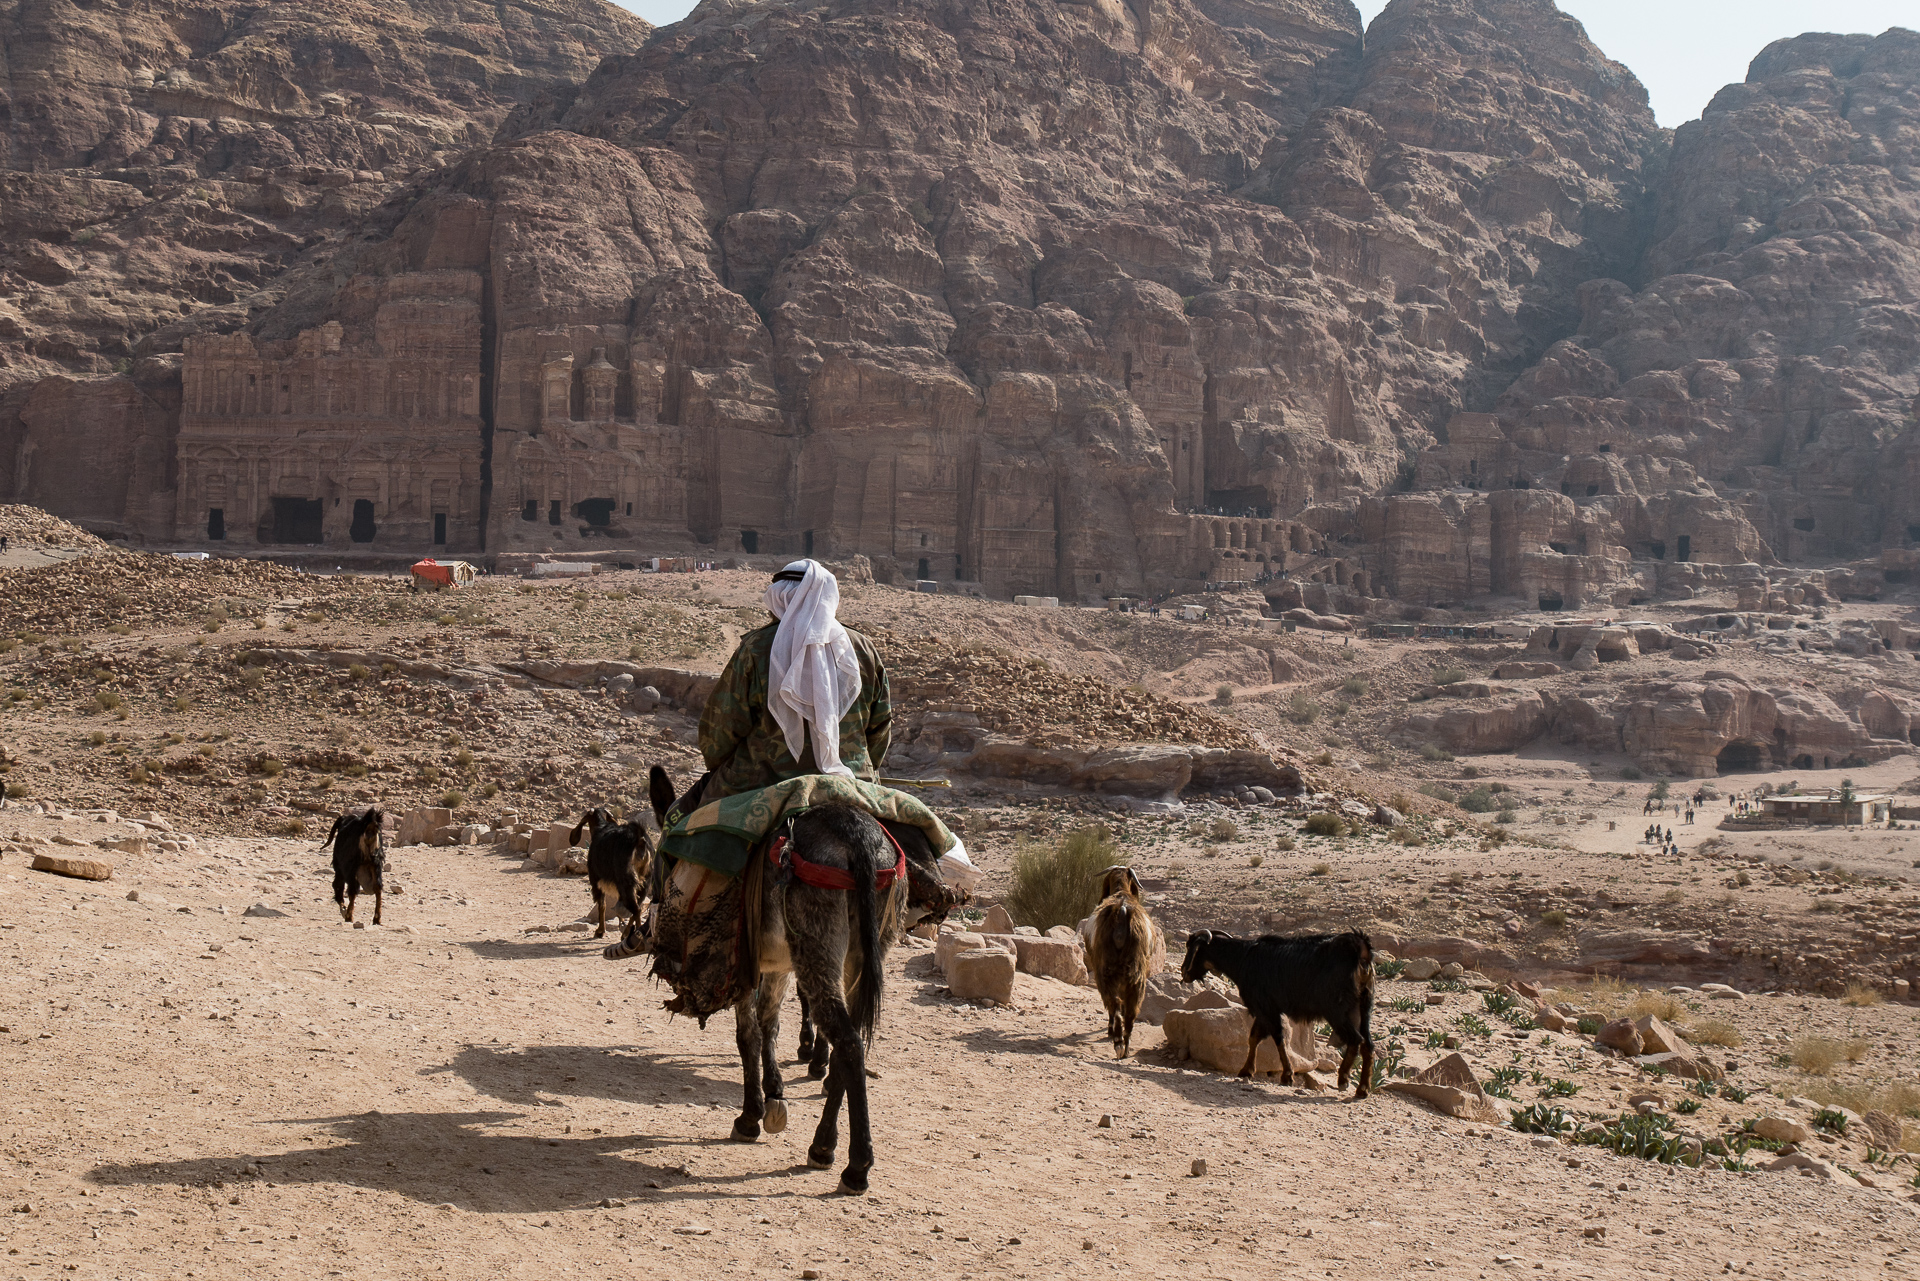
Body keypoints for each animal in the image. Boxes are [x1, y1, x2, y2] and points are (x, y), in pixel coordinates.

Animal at [1082, 860, 1152, 1060]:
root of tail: (1122, 910)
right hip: (1135, 973)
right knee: (1129, 1009)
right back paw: (1124, 1045)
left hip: (1106, 970)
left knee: (1114, 1003)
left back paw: (1117, 1040)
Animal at [1175, 925, 1374, 1098]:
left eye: (1191, 948)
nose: (1184, 972)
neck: (1242, 959)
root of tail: (1360, 949)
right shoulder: (1264, 1010)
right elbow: (1254, 1037)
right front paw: (1247, 1071)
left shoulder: (1265, 1007)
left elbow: (1277, 1037)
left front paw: (1286, 1076)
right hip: (1363, 1006)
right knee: (1368, 1045)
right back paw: (1362, 1089)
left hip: (1336, 1010)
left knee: (1356, 1039)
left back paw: (1343, 1080)